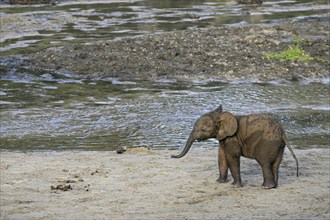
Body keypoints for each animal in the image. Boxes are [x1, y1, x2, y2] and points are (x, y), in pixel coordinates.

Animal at [170, 105, 300, 188]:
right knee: (275, 165)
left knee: (264, 163)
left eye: (203, 129)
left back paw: (265, 187)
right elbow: (221, 157)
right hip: (279, 146)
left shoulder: (232, 139)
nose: (171, 156)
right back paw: (274, 186)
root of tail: (283, 133)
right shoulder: (224, 138)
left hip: (268, 143)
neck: (221, 116)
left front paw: (235, 186)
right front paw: (220, 182)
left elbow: (232, 158)